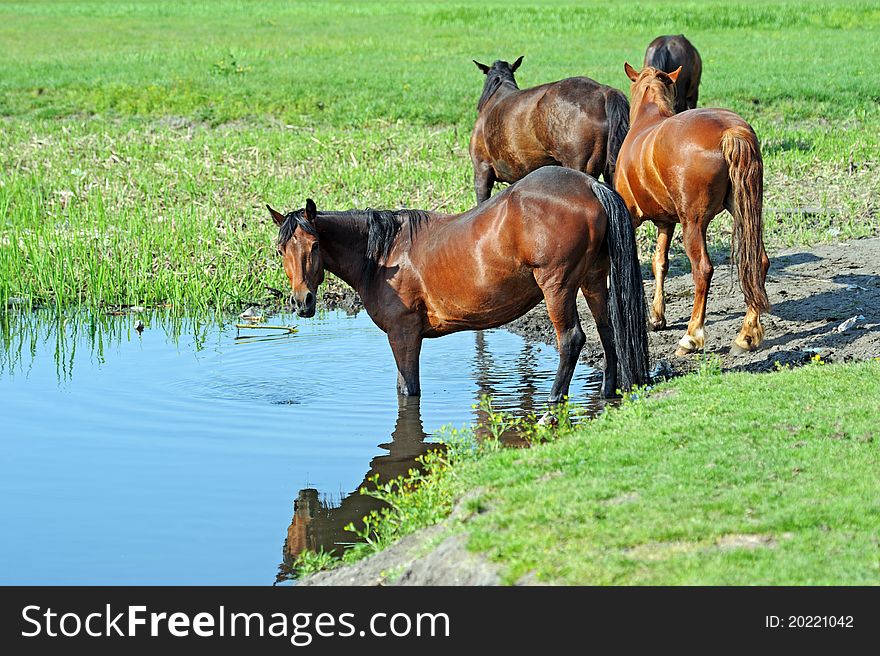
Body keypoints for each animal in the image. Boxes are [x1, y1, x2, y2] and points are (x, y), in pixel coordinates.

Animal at [270, 167, 652, 400]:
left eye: (314, 245)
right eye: (280, 250)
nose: (303, 302)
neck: (382, 257)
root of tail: (590, 184)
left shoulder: (403, 334)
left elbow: (408, 389)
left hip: (557, 286)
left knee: (571, 339)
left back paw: (554, 398)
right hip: (593, 280)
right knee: (607, 331)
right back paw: (607, 392)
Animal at [612, 64, 768, 356]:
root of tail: (730, 130)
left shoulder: (631, 217)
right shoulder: (666, 222)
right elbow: (660, 262)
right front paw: (657, 316)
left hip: (693, 224)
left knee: (703, 270)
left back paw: (691, 337)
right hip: (743, 211)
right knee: (758, 261)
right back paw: (746, 335)